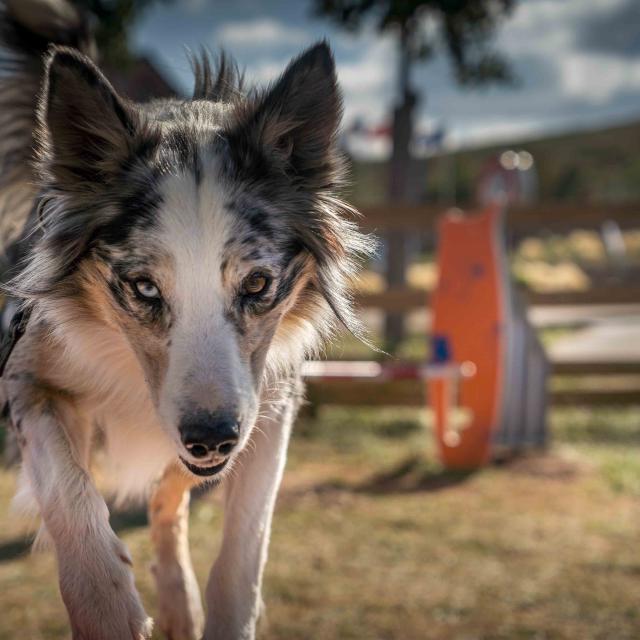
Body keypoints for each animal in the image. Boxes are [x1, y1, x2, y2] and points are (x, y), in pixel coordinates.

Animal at [0, 2, 372, 636]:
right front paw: (108, 610)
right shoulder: (29, 379)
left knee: (169, 502)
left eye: (257, 284)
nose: (211, 437)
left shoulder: (269, 402)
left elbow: (244, 548)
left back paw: (179, 601)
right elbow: (70, 495)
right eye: (144, 287)